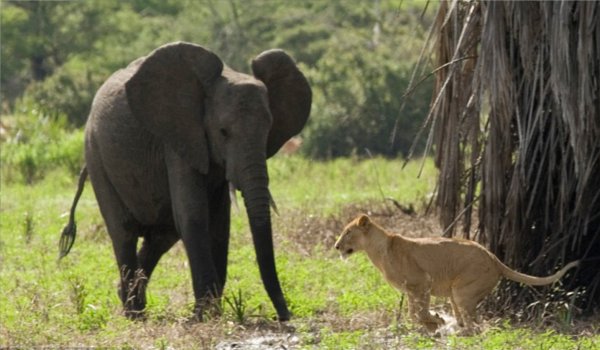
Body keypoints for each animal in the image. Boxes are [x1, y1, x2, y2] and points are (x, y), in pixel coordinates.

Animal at [58, 40, 312, 320]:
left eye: (268, 130)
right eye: (223, 132)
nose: (283, 315)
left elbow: (219, 225)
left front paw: (211, 312)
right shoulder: (178, 138)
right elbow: (193, 215)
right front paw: (206, 315)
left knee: (162, 236)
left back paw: (127, 298)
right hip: (96, 156)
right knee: (123, 231)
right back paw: (134, 314)